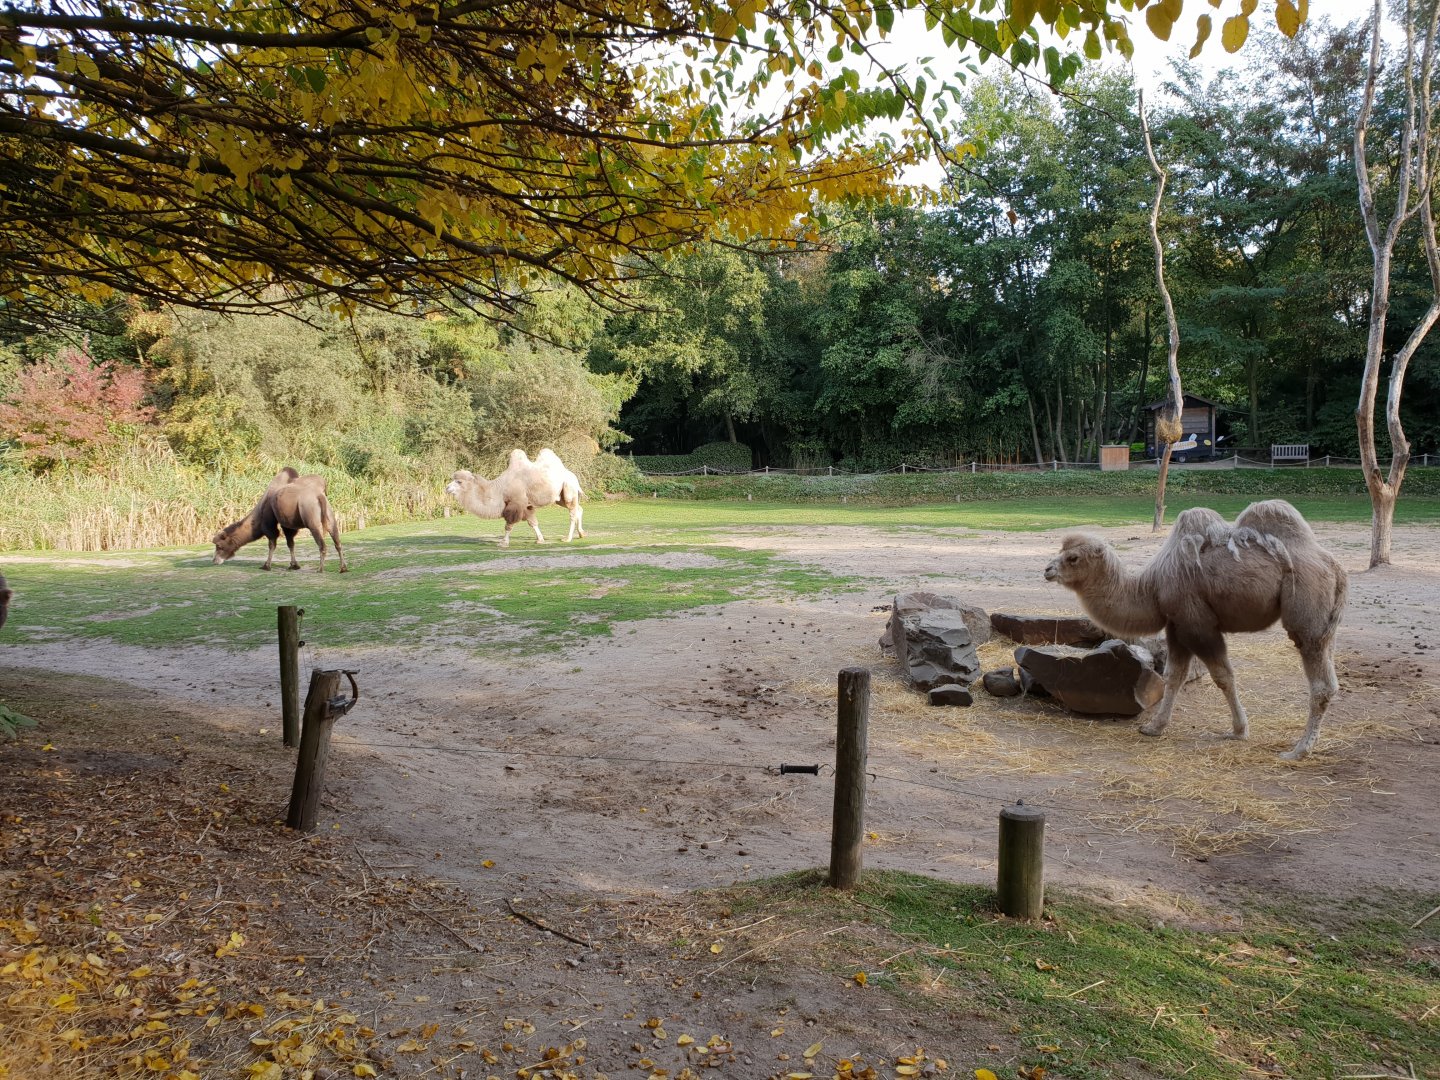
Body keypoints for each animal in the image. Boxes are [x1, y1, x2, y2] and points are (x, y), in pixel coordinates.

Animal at [212, 467, 349, 572]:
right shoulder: (287, 525)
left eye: (219, 546)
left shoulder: (270, 523)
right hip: (331, 516)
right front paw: (294, 565)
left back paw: (320, 569)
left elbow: (272, 544)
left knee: (322, 545)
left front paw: (266, 566)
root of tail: (319, 495)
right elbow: (290, 543)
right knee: (338, 542)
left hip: (311, 519)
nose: (214, 560)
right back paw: (343, 568)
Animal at [445, 448, 585, 548]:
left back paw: (567, 538)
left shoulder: (516, 503)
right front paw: (540, 539)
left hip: (569, 489)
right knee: (579, 509)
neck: (500, 489)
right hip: (559, 498)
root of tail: (573, 476)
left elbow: (509, 524)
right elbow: (533, 522)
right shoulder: (526, 505)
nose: (447, 488)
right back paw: (582, 534)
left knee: (572, 512)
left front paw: (503, 543)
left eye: (459, 482)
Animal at [1043, 499, 1347, 760]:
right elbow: (1174, 676)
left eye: (1073, 558)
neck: (1151, 588)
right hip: (1326, 624)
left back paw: (1298, 751)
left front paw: (1239, 731)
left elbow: (1223, 676)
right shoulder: (1176, 626)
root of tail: (1335, 567)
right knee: (1329, 675)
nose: (1047, 570)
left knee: (1318, 680)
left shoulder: (1197, 624)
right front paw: (1153, 727)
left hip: (1307, 608)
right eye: (1060, 552)